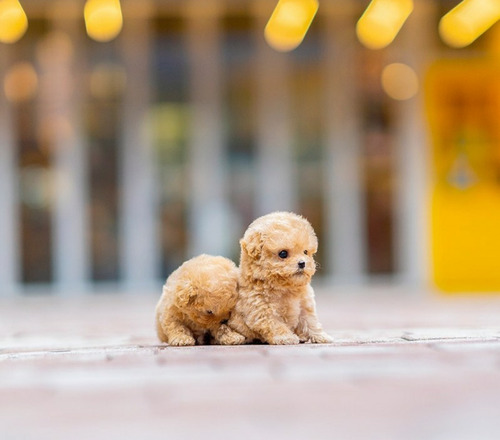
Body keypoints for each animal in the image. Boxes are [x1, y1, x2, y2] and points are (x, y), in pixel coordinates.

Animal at [229, 211, 332, 346]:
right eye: (283, 254)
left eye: (305, 252)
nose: (302, 263)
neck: (286, 288)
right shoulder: (262, 311)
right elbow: (276, 325)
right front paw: (286, 337)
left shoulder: (305, 305)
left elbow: (311, 322)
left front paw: (321, 336)